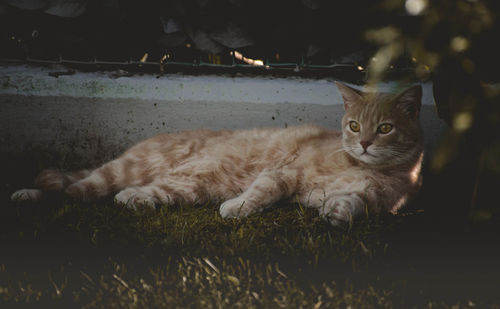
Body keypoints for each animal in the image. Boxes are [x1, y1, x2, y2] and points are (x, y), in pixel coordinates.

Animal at [9, 82, 424, 226]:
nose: (365, 143)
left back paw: (134, 200)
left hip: (183, 187)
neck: (364, 167)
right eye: (354, 126)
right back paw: (25, 195)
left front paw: (337, 215)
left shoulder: (366, 199)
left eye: (384, 128)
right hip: (126, 170)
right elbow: (263, 190)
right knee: (71, 191)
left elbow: (352, 206)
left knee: (122, 193)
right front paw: (237, 208)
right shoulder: (285, 173)